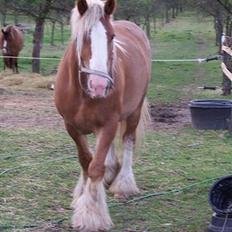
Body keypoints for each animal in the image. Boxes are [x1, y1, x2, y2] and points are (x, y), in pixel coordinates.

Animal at [55, 0, 151, 230]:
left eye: (112, 36)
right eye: (83, 36)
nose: (99, 86)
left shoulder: (108, 124)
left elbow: (95, 167)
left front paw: (91, 215)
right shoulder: (71, 126)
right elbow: (85, 160)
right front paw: (81, 195)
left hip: (134, 111)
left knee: (127, 140)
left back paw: (124, 184)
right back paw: (111, 173)